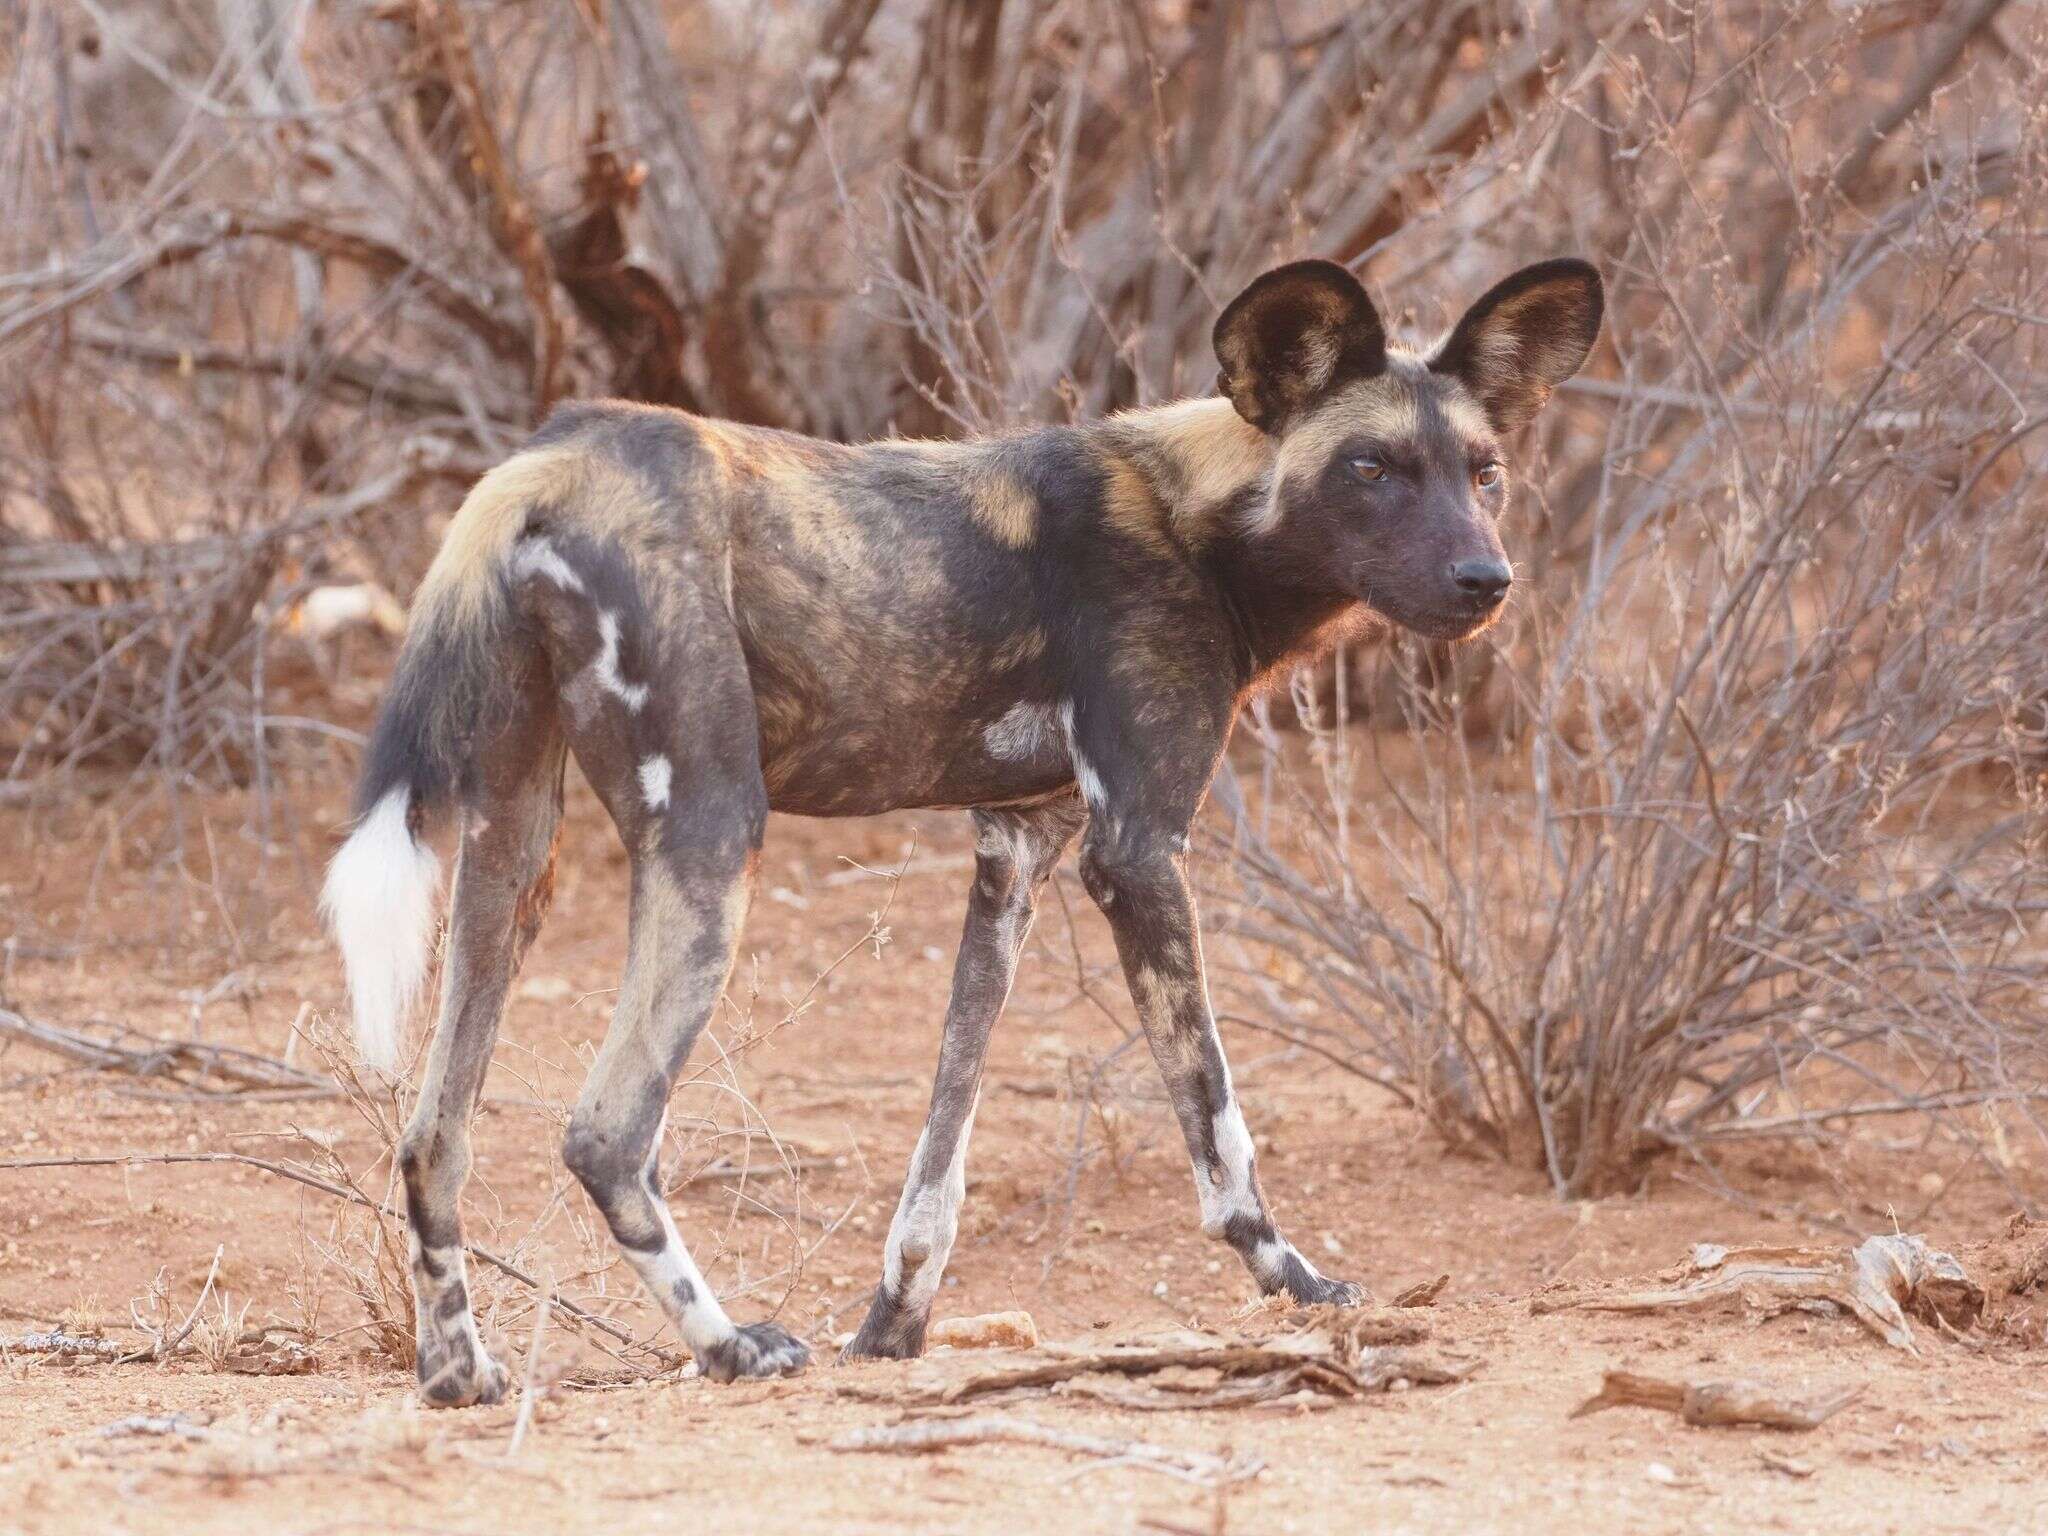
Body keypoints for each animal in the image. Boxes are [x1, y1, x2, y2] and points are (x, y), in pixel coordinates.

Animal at [327, 256, 1597, 1409]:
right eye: (1370, 468)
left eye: (1482, 471)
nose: (1484, 578)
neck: (1201, 522)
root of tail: (555, 456)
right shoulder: (1135, 853)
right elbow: (1218, 1129)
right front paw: (1298, 1286)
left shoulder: (1017, 855)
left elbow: (942, 1144)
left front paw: (893, 1326)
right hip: (711, 835)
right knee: (604, 1133)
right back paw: (728, 1347)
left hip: (508, 860)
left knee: (433, 1136)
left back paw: (456, 1370)